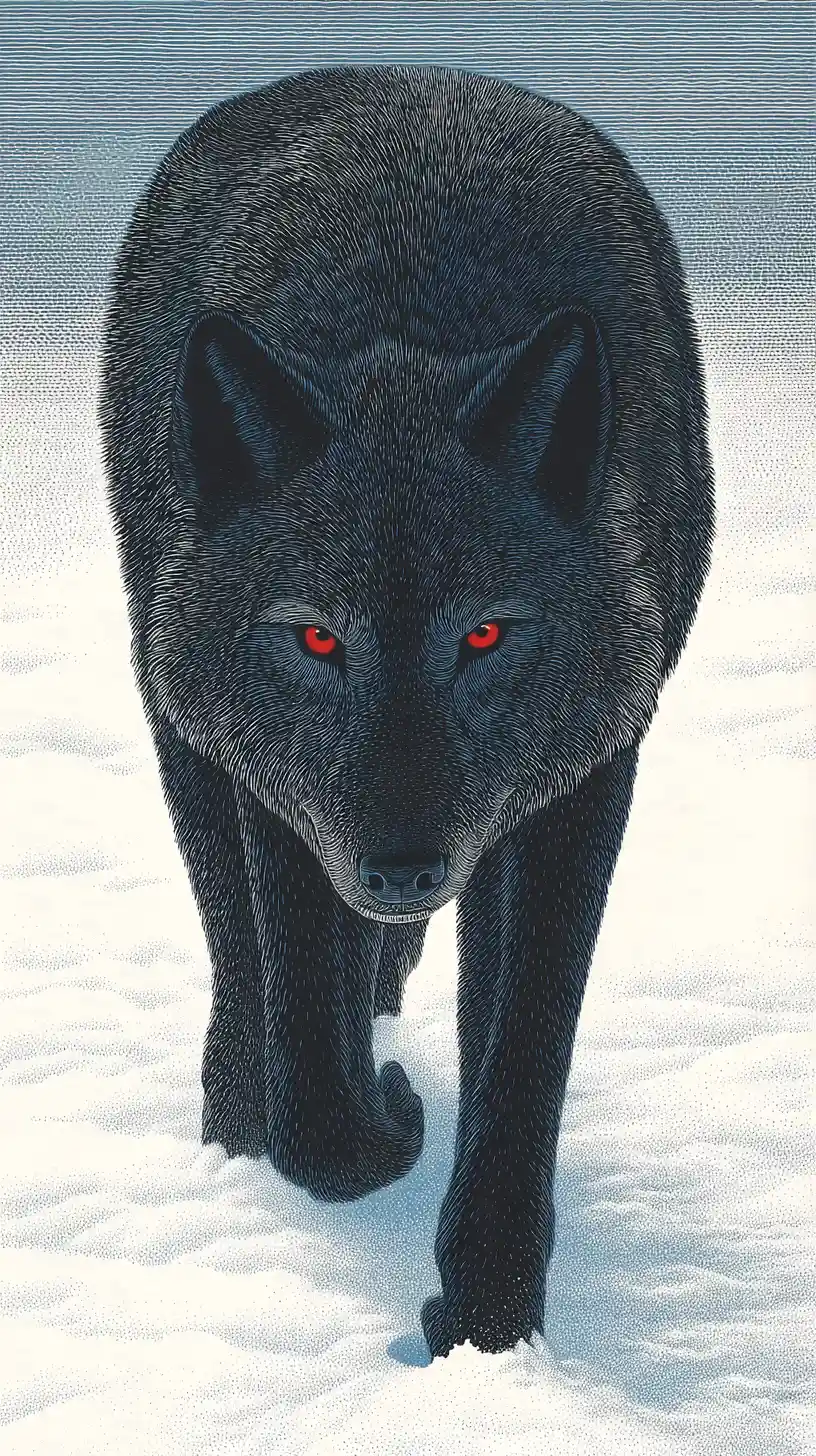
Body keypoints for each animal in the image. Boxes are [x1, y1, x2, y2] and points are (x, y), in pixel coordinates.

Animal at [98, 65, 714, 1358]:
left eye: (483, 634)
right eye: (316, 638)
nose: (401, 865)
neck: (405, 329)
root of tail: (398, 69)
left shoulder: (582, 788)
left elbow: (521, 1064)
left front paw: (486, 1328)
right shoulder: (284, 791)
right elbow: (316, 1088)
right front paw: (382, 1115)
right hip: (181, 729)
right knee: (238, 954)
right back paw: (236, 1129)